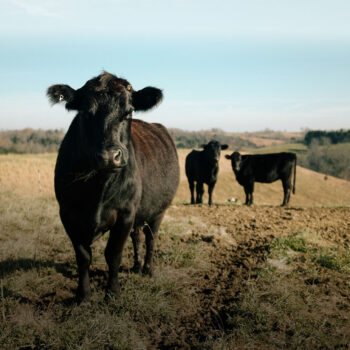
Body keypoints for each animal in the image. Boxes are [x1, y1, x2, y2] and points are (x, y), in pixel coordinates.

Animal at [46, 72, 179, 304]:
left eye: (128, 112)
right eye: (86, 112)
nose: (109, 156)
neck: (98, 188)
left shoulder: (125, 213)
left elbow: (113, 254)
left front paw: (113, 293)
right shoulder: (68, 214)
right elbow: (83, 256)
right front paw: (83, 295)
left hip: (158, 212)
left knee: (151, 239)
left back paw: (147, 269)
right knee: (137, 236)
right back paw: (136, 266)